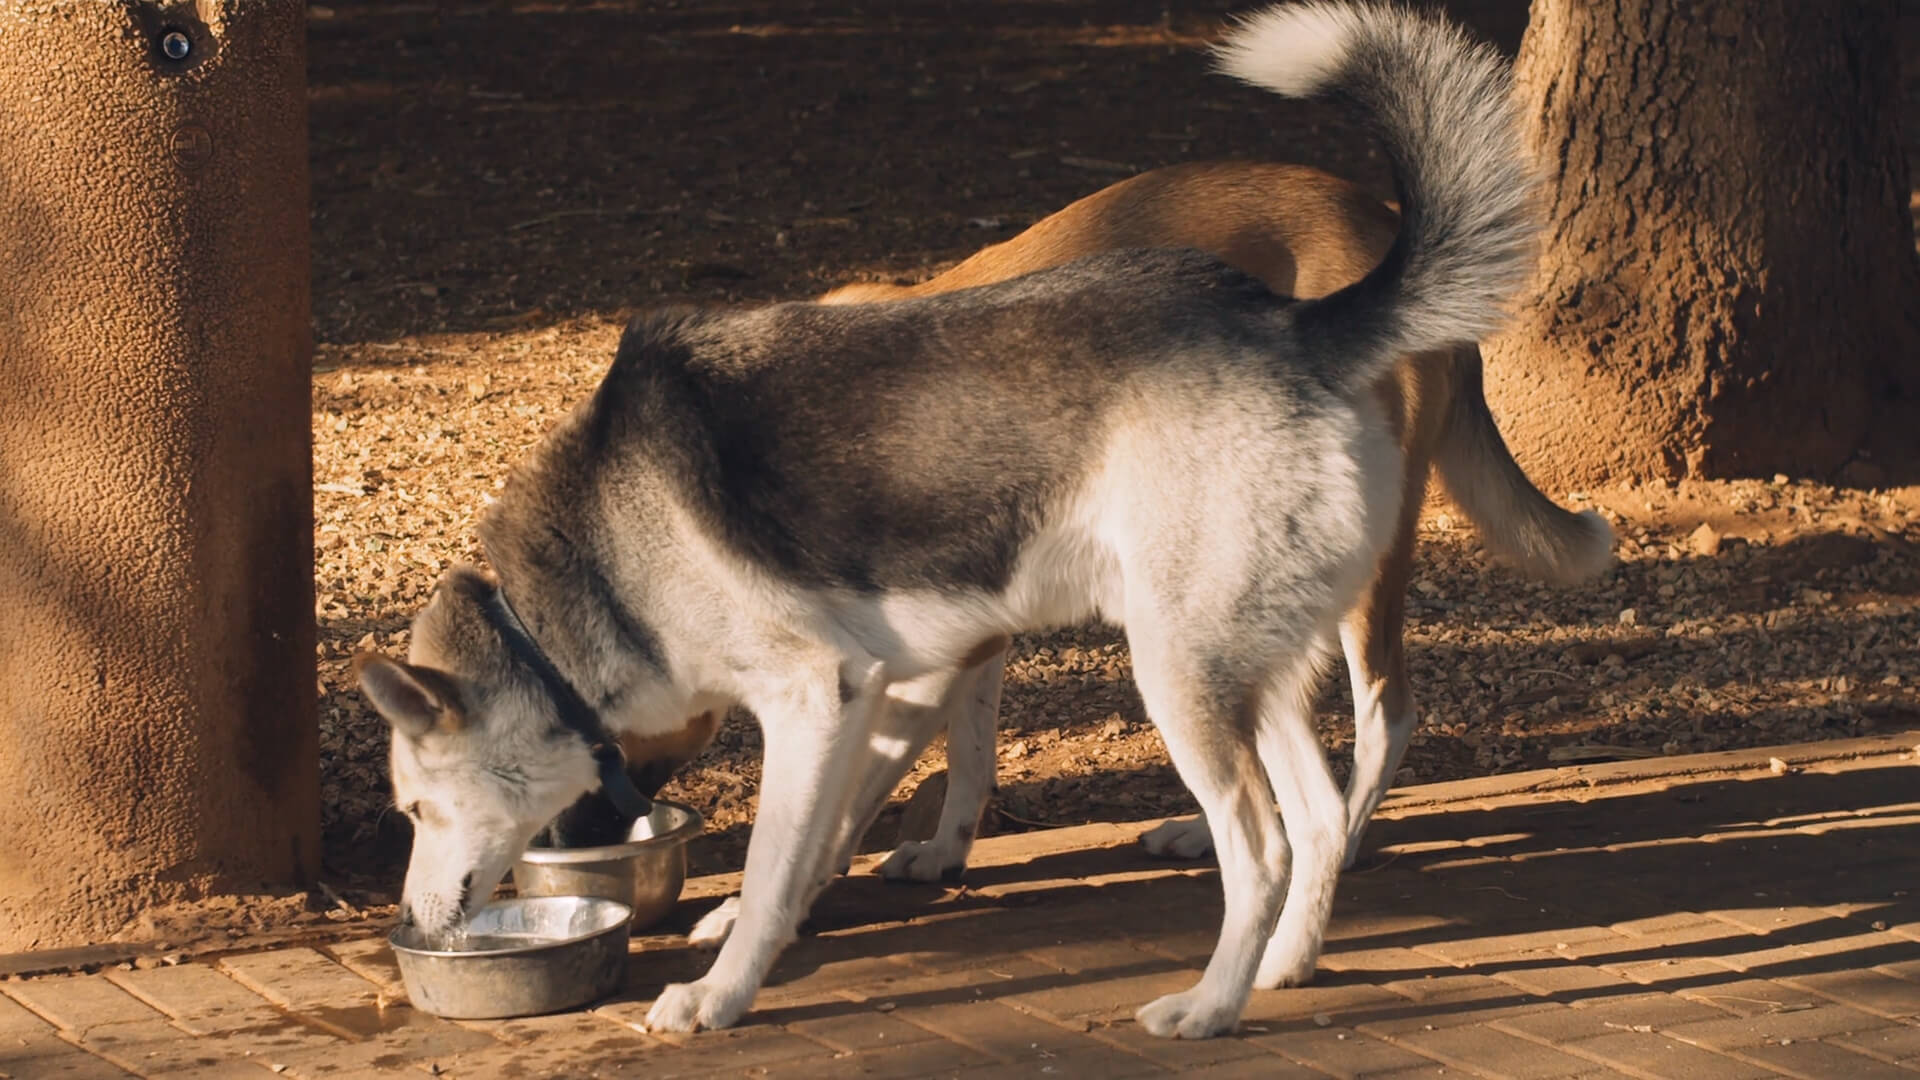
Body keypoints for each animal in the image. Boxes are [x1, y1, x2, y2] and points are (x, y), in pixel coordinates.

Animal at [362, 4, 1543, 1037]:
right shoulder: (877, 695)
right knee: (1316, 817)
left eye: (413, 812)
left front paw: (722, 992)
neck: (574, 594)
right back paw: (1285, 966)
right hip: (1239, 664)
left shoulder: (816, 702)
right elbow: (818, 847)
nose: (408, 920)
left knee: (1261, 842)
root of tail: (1298, 326)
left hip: (1180, 672)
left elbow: (787, 855)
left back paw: (1210, 1005)